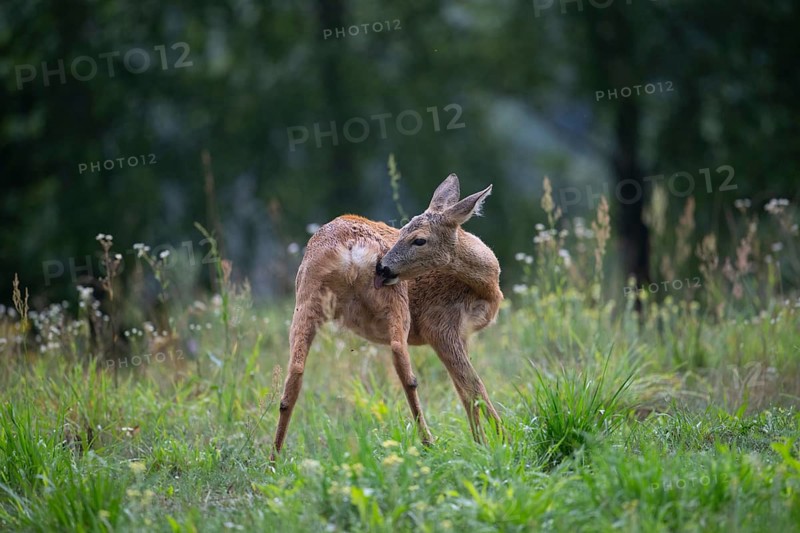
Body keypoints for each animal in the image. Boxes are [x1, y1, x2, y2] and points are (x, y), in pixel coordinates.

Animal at [270, 173, 503, 460]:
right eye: (402, 232)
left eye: (418, 239)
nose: (382, 267)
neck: (485, 285)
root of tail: (348, 245)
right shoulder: (440, 324)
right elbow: (472, 386)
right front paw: (500, 441)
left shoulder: (462, 333)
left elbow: (463, 390)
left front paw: (481, 443)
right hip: (395, 297)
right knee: (401, 359)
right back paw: (429, 442)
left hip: (306, 295)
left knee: (295, 370)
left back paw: (274, 458)